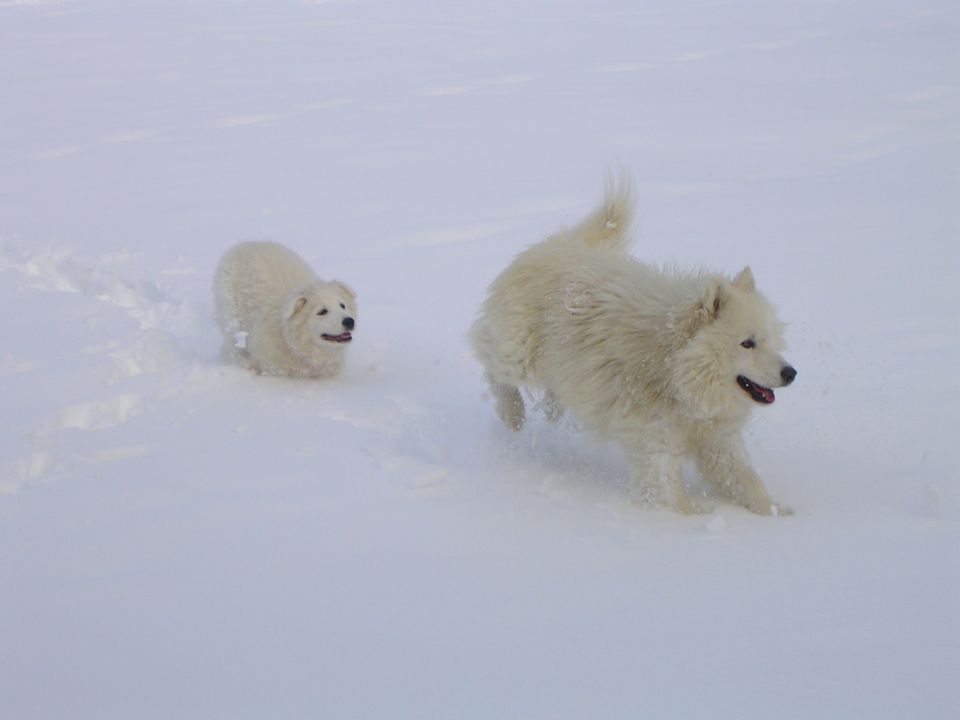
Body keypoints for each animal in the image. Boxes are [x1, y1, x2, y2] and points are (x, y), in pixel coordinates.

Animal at [470, 181, 796, 516]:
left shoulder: (719, 442)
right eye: (747, 343)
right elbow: (675, 499)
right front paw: (694, 519)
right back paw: (513, 413)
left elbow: (749, 483)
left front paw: (782, 515)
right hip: (516, 355)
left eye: (771, 340)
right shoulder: (655, 447)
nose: (791, 373)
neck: (675, 375)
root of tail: (559, 243)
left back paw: (551, 407)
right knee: (491, 364)